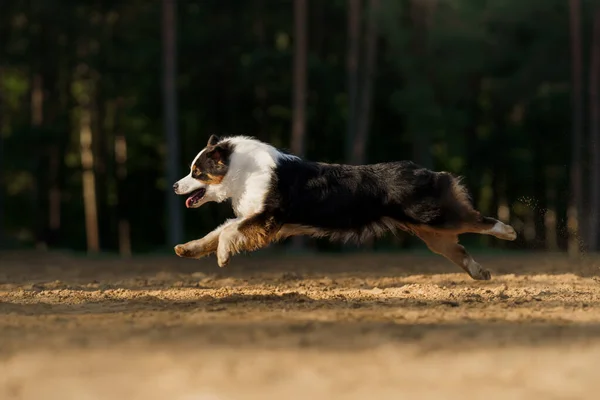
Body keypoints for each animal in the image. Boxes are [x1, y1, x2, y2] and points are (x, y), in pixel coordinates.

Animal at [172, 134, 516, 282]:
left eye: (196, 172)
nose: (175, 186)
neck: (240, 171)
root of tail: (429, 171)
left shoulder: (269, 217)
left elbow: (228, 232)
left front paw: (222, 257)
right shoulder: (259, 218)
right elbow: (218, 231)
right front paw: (187, 249)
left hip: (432, 215)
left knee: (478, 220)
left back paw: (509, 231)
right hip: (431, 232)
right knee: (458, 249)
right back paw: (480, 272)